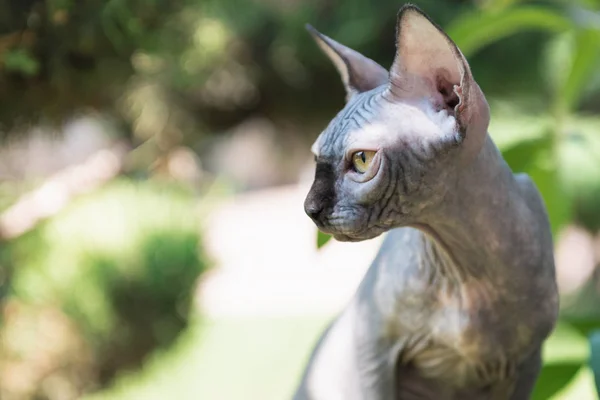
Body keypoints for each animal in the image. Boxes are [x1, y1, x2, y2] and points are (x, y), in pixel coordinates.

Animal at [292, 3, 560, 400]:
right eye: (316, 158)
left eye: (361, 160)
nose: (310, 209)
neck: (465, 270)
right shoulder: (372, 350)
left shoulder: (528, 363)